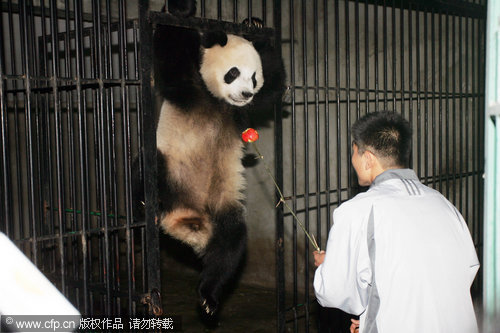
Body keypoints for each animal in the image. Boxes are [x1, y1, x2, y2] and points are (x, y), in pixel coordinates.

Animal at [135, 0, 286, 316]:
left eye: (254, 76)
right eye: (233, 72)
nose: (246, 92)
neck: (218, 102)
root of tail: (185, 220)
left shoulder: (243, 110)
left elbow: (273, 86)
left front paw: (254, 24)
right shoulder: (190, 88)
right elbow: (171, 46)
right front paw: (180, 9)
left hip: (221, 204)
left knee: (231, 243)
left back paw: (208, 296)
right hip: (169, 169)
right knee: (147, 166)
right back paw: (146, 203)